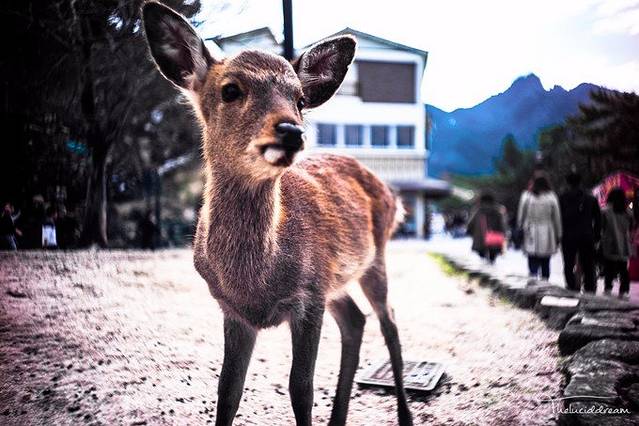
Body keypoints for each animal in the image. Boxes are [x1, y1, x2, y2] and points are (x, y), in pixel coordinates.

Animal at [142, 2, 413, 425]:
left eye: (300, 99)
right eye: (230, 90)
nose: (291, 131)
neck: (255, 281)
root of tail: (392, 195)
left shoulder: (309, 298)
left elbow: (300, 389)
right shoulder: (233, 310)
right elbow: (227, 391)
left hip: (374, 259)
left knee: (391, 325)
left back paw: (404, 415)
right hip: (335, 281)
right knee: (356, 321)